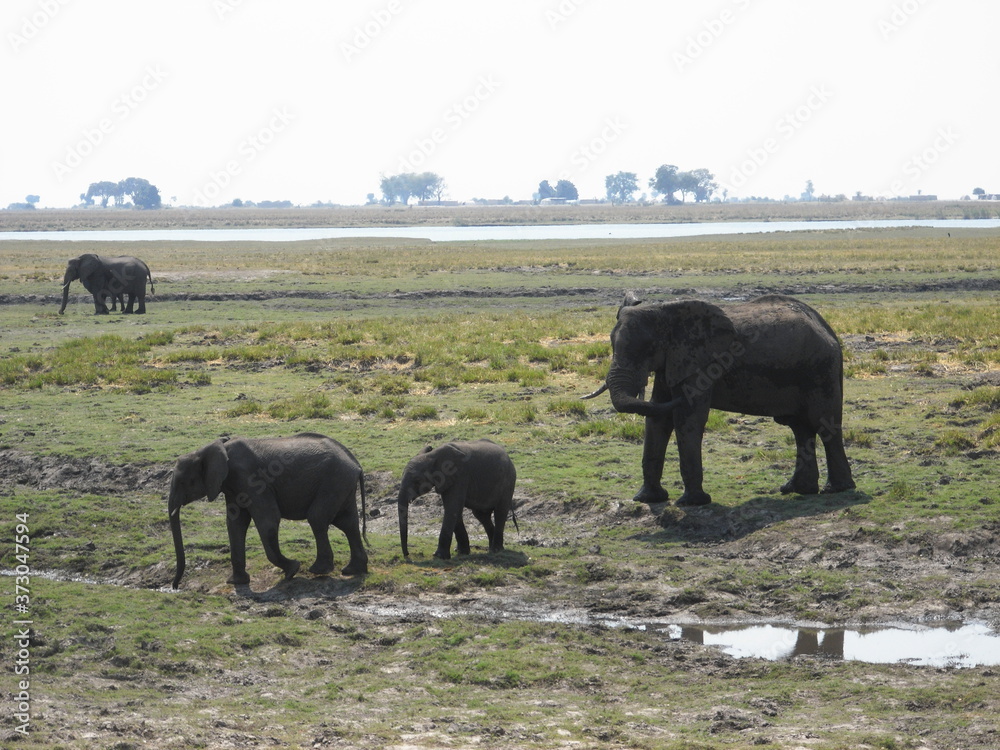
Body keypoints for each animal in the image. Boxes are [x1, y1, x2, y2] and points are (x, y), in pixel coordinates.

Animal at [168, 432, 372, 592]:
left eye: (183, 482)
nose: (175, 586)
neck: (214, 448)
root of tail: (356, 464)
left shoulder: (251, 479)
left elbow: (268, 519)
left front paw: (292, 570)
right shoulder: (232, 486)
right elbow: (235, 522)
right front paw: (236, 582)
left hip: (334, 482)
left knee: (318, 518)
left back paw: (319, 570)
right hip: (342, 484)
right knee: (347, 523)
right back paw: (353, 570)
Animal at [584, 292, 856, 506]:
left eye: (647, 349)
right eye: (611, 344)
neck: (666, 314)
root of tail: (827, 328)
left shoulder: (699, 364)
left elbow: (687, 419)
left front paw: (692, 503)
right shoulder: (672, 362)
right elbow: (658, 421)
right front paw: (647, 499)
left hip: (821, 370)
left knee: (824, 425)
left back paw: (837, 489)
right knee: (800, 428)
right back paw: (797, 490)